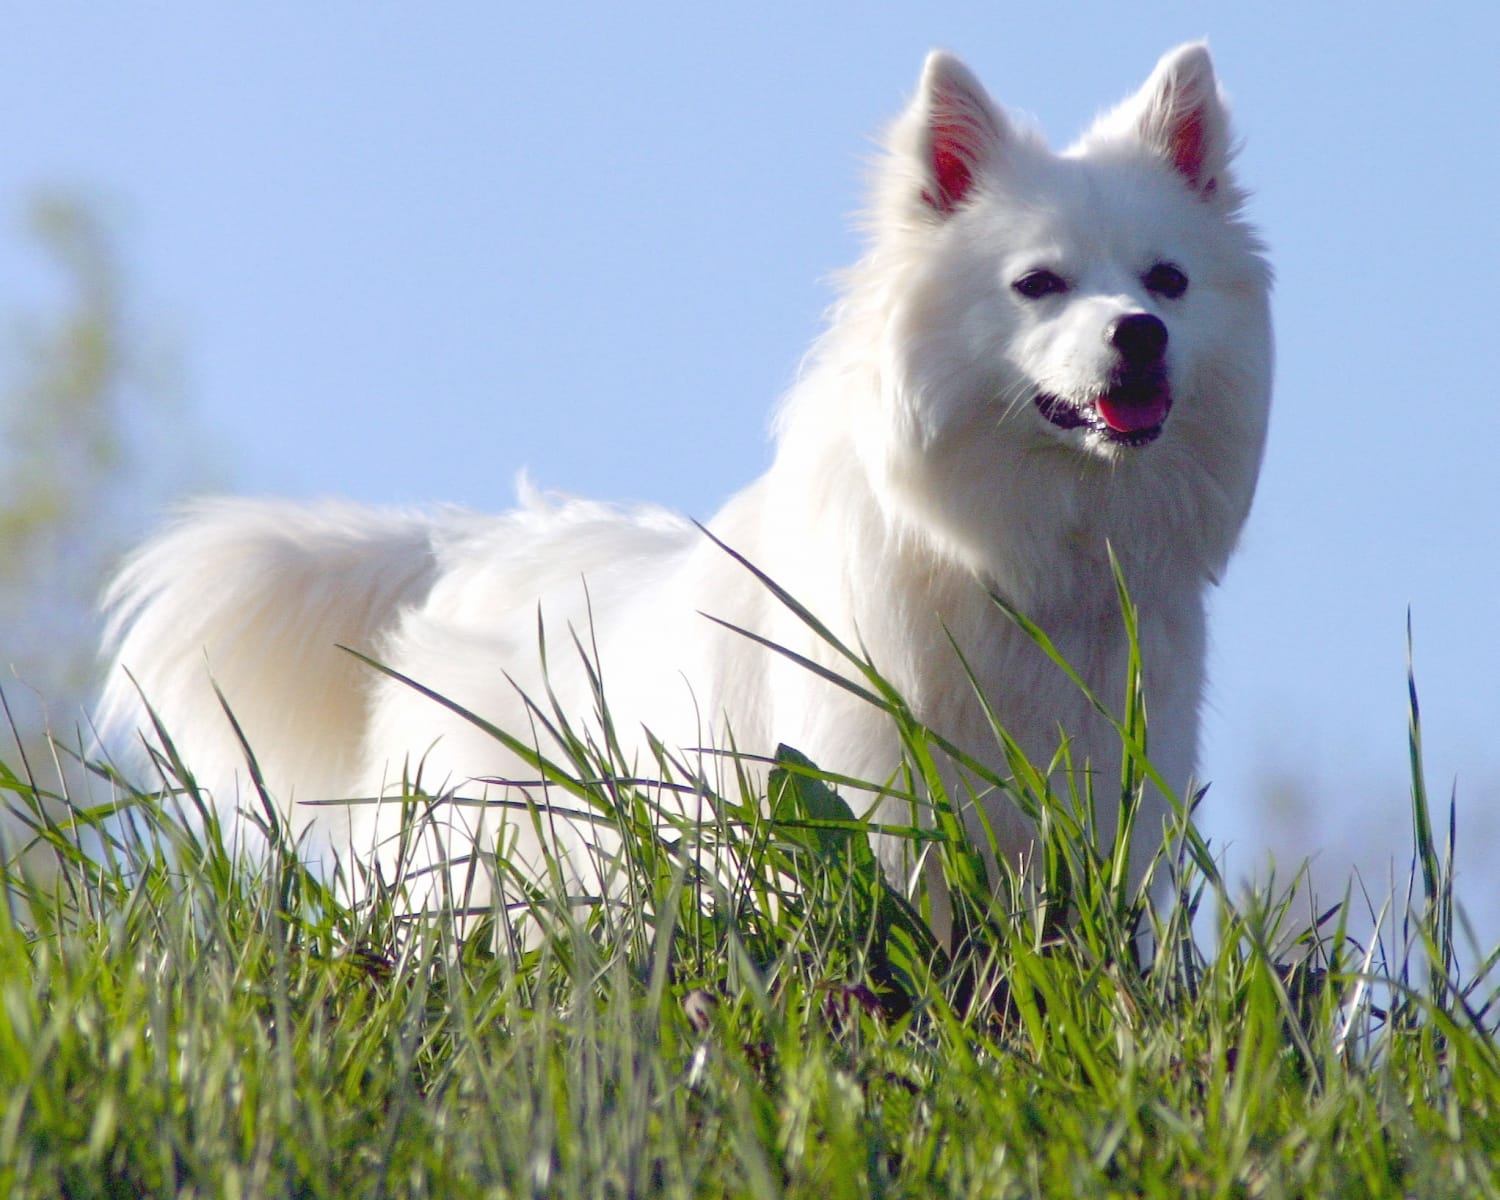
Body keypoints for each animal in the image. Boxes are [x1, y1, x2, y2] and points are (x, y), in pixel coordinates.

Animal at [96, 44, 1266, 936]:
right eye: (1038, 285)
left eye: (1167, 282)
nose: (1140, 334)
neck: (1021, 563)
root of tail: (471, 549)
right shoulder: (876, 814)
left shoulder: (1106, 826)